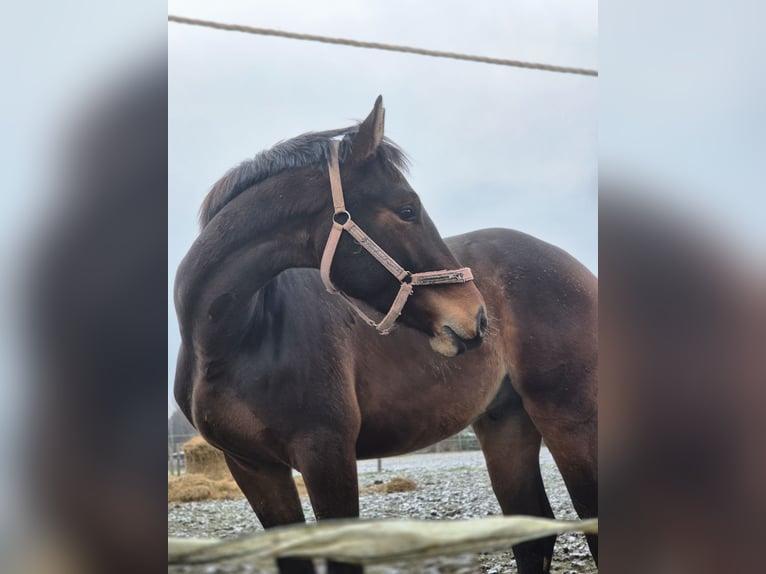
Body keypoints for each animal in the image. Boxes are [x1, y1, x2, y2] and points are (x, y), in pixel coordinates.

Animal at [174, 99, 600, 574]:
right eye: (407, 209)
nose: (476, 317)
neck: (236, 340)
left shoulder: (327, 456)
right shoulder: (253, 469)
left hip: (568, 416)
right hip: (505, 423)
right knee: (532, 532)